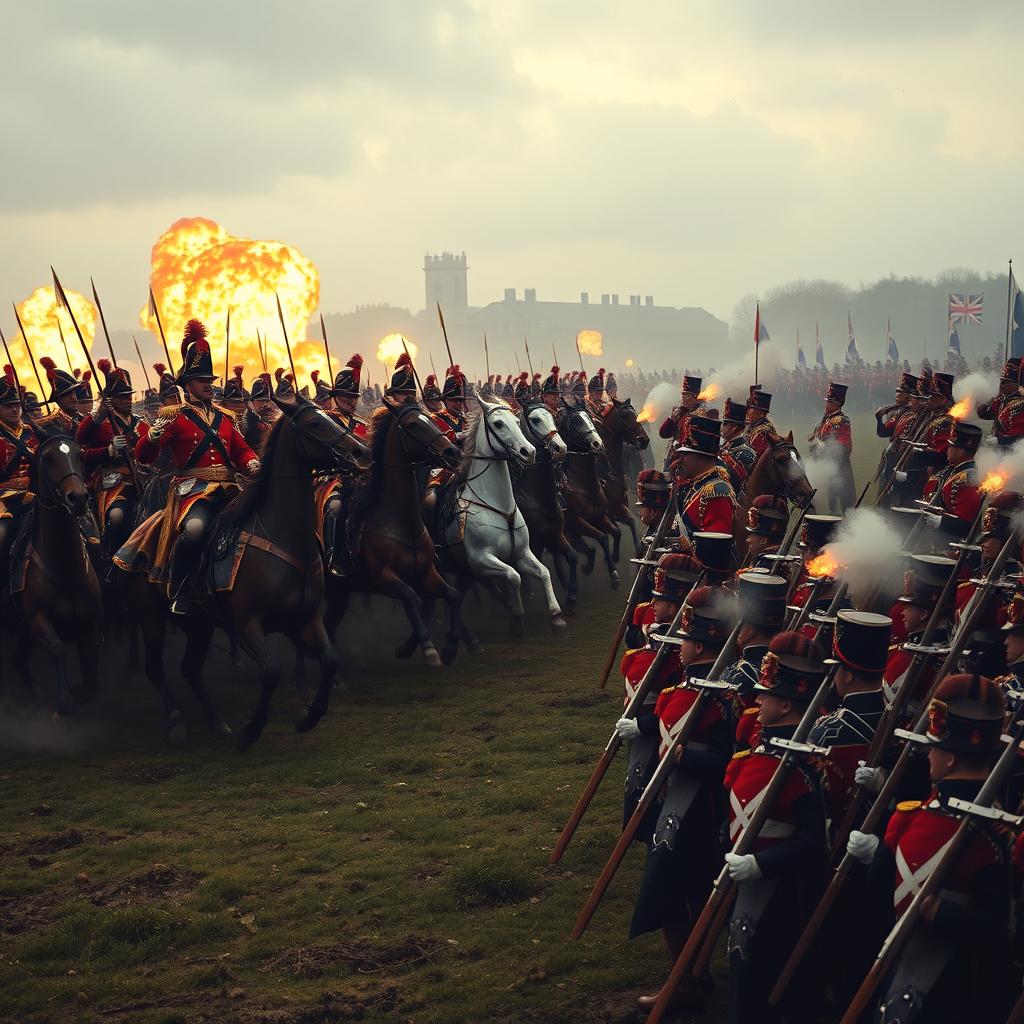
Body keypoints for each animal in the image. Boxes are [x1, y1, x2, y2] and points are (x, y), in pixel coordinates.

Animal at [8, 432, 101, 720]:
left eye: (79, 454)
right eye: (48, 458)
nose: (78, 498)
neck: (65, 566)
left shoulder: (91, 621)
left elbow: (90, 660)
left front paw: (85, 691)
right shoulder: (36, 620)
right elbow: (58, 648)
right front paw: (64, 701)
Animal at [124, 395, 372, 749]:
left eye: (330, 418)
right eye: (314, 423)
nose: (362, 452)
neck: (283, 535)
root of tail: (142, 528)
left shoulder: (304, 618)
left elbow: (329, 659)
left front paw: (309, 717)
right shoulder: (245, 624)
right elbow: (270, 672)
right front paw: (251, 730)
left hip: (198, 624)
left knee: (190, 669)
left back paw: (217, 722)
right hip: (152, 618)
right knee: (156, 668)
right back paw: (176, 721)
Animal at [327, 395, 468, 667]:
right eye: (413, 424)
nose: (453, 452)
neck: (400, 522)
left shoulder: (426, 573)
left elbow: (452, 595)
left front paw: (449, 646)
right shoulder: (384, 578)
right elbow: (412, 599)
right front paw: (428, 649)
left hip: (341, 591)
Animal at [440, 395, 569, 634]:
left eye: (517, 422)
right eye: (498, 424)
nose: (529, 451)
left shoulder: (525, 551)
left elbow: (544, 571)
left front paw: (557, 614)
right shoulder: (482, 559)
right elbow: (514, 577)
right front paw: (518, 617)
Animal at [593, 399, 647, 557]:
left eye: (636, 413)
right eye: (623, 416)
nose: (644, 440)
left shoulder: (618, 508)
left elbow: (630, 521)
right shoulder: (612, 510)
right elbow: (623, 526)